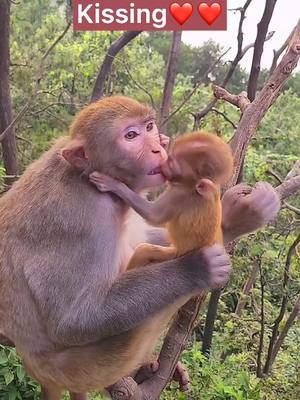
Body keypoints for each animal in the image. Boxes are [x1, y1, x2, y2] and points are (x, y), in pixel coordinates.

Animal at [90, 133, 233, 270]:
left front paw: (114, 184)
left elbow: (153, 216)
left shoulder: (179, 195)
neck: (193, 187)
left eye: (171, 164)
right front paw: (164, 143)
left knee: (144, 250)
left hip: (173, 254)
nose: (163, 164)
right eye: (169, 158)